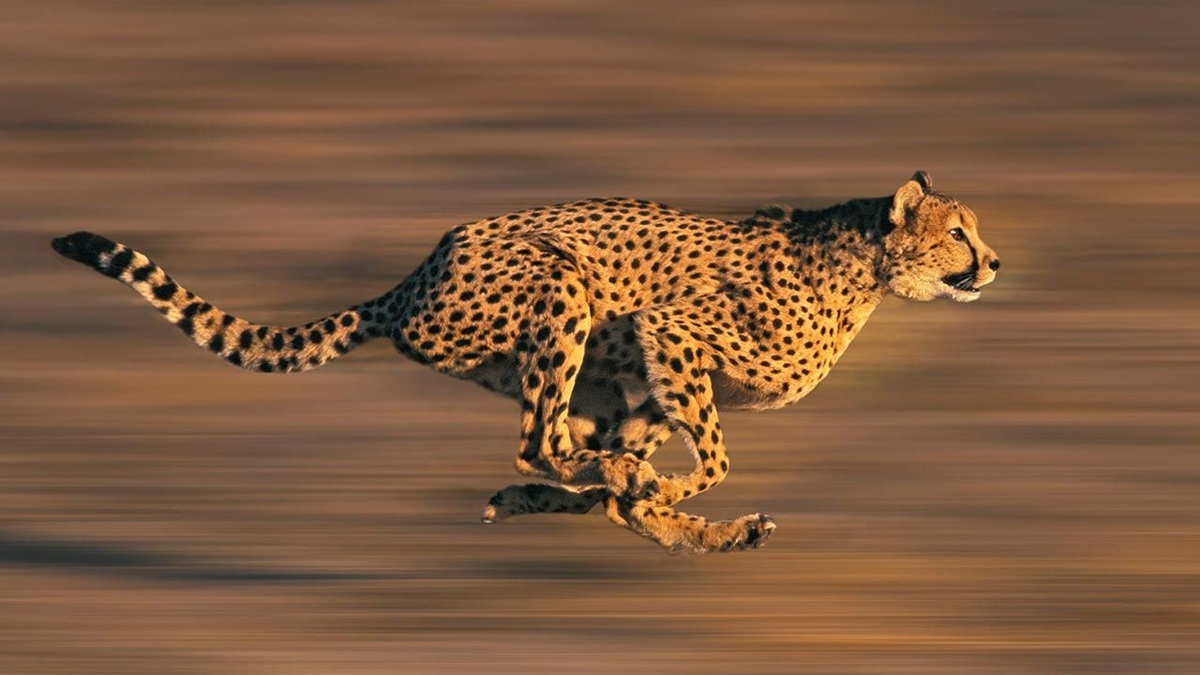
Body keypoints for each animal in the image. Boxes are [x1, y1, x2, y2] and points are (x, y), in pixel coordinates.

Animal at [51, 171, 1000, 554]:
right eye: (958, 231)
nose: (993, 263)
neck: (867, 268)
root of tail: (419, 270)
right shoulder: (669, 331)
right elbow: (714, 457)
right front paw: (667, 489)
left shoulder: (648, 374)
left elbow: (650, 480)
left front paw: (666, 505)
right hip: (560, 287)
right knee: (541, 443)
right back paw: (606, 488)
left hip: (591, 368)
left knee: (565, 460)